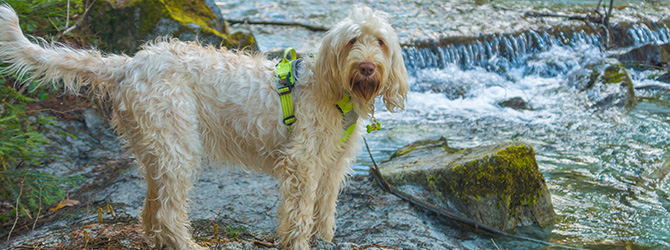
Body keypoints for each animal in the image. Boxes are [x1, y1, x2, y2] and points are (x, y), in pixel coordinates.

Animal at [0, 3, 410, 250]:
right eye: (353, 41)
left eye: (380, 42)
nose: (367, 68)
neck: (334, 90)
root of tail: (128, 64)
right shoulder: (302, 164)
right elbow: (300, 212)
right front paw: (298, 242)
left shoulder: (333, 163)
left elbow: (324, 207)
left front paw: (323, 237)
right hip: (178, 148)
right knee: (169, 212)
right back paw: (187, 244)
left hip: (155, 149)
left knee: (152, 208)